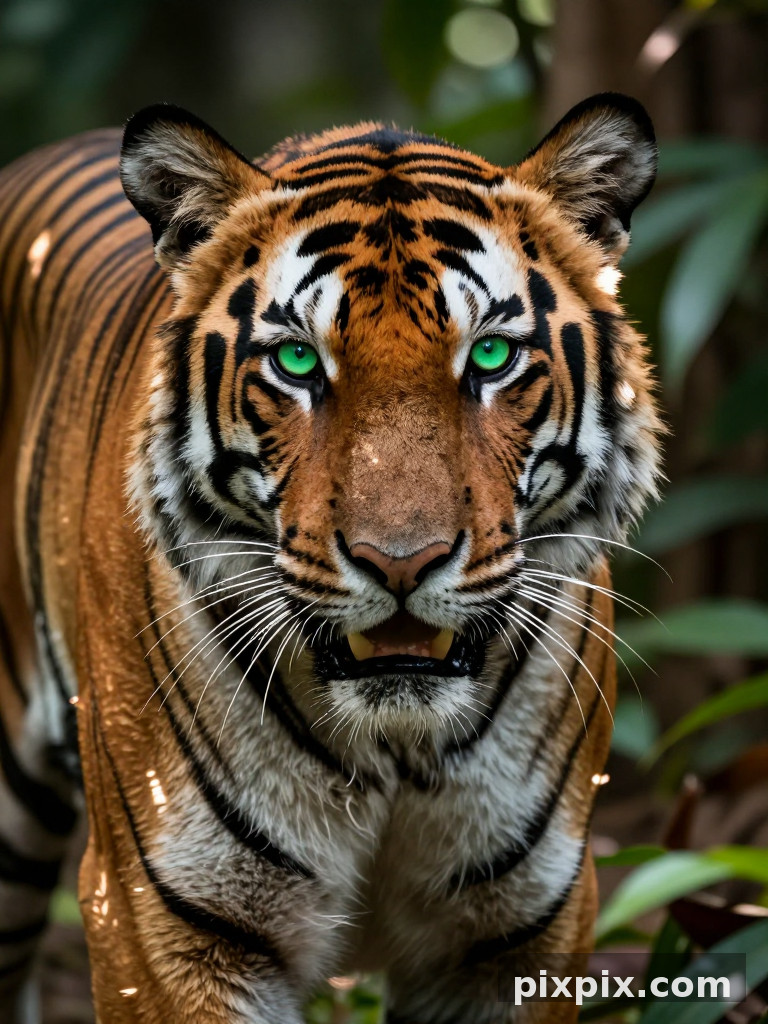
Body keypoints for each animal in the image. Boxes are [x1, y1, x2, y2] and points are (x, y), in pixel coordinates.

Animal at [0, 92, 661, 1023]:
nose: (402, 562)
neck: (396, 752)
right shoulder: (162, 924)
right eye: (297, 360)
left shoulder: (521, 933)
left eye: (491, 355)